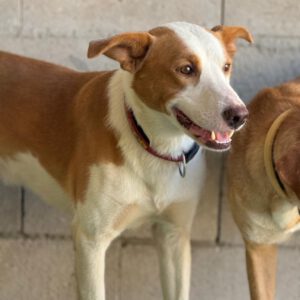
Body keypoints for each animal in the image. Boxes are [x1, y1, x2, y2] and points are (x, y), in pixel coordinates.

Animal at [0, 22, 252, 300]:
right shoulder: (90, 239)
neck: (156, 146)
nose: (240, 115)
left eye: (226, 66)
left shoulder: (173, 235)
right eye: (186, 69)